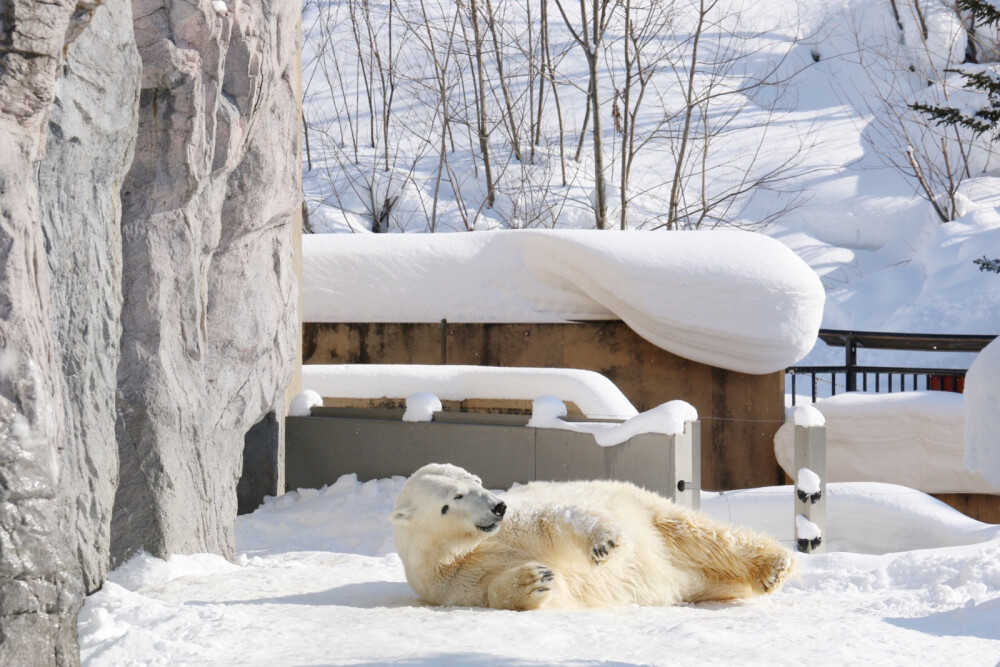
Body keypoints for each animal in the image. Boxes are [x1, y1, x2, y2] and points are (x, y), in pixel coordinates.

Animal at [390, 464, 796, 612]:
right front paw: (535, 578)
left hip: (645, 509)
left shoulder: (514, 524)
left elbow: (549, 520)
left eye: (475, 479)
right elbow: (492, 592)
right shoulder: (449, 581)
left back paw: (773, 567)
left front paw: (606, 543)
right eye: (454, 498)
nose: (498, 506)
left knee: (699, 534)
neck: (457, 548)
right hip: (689, 579)